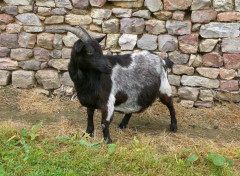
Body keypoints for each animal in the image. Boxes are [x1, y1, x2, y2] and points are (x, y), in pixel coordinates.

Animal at [49, 25, 177, 143]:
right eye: (89, 51)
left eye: (101, 50)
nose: (108, 67)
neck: (87, 82)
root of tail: (163, 60)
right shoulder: (90, 100)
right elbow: (89, 117)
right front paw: (87, 134)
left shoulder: (108, 100)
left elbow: (104, 122)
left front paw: (108, 141)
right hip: (135, 92)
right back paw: (123, 124)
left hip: (164, 88)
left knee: (170, 105)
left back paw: (174, 126)